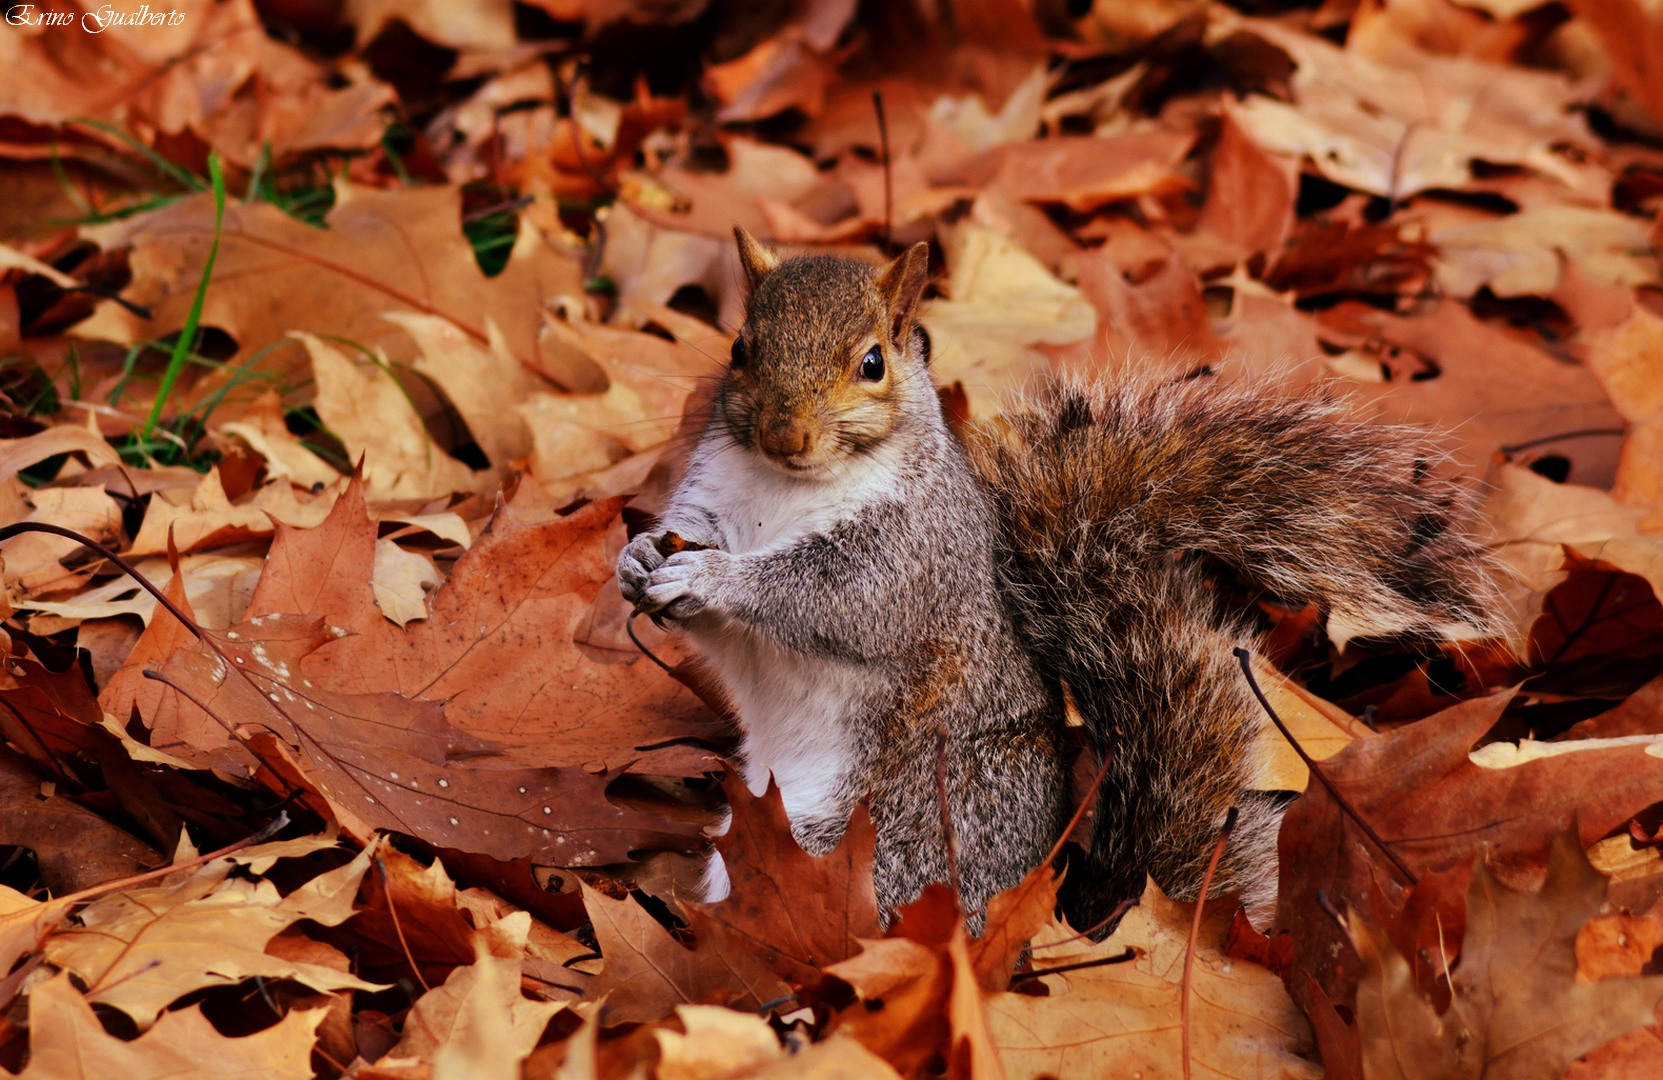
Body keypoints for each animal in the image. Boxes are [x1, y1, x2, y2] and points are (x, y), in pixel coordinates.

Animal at [618, 229, 1503, 931]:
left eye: (871, 363)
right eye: (739, 348)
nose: (784, 433)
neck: (783, 488)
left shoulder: (914, 553)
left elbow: (838, 600)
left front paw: (721, 577)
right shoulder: (706, 502)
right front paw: (632, 562)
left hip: (892, 837)